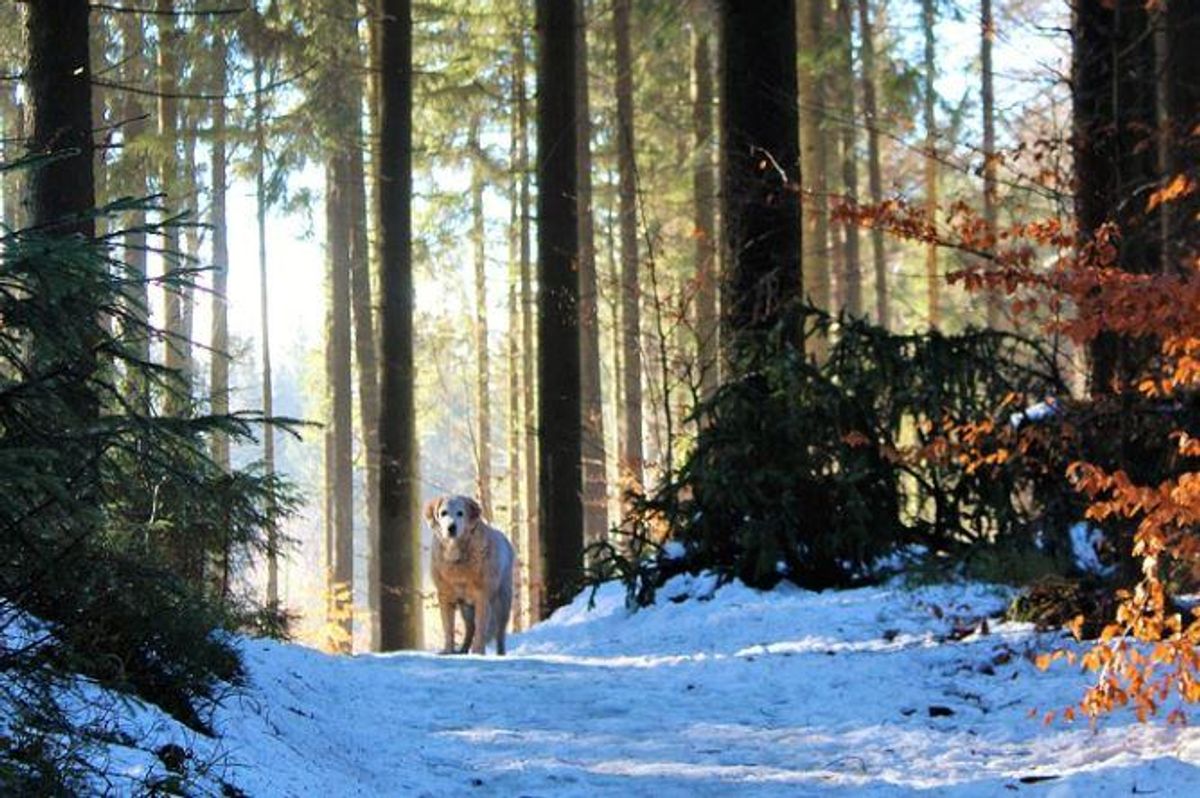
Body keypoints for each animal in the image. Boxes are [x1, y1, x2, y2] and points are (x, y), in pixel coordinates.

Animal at [424, 494, 513, 657]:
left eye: (460, 513)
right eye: (443, 513)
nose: (451, 527)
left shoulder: (482, 598)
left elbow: (481, 629)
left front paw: (478, 651)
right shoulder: (445, 596)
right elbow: (448, 628)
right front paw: (448, 651)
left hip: (502, 602)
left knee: (499, 633)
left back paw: (500, 654)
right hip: (465, 607)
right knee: (470, 628)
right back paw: (463, 650)